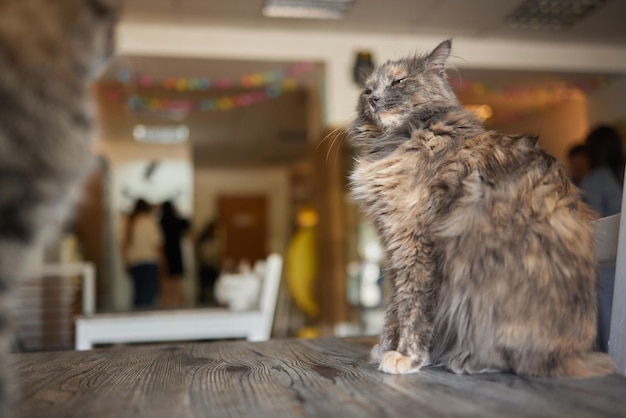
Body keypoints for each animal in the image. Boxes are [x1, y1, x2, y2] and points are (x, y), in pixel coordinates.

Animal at [348, 40, 616, 378]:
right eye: (368, 89)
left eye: (398, 81)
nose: (373, 98)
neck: (403, 139)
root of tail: (572, 354)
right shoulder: (392, 247)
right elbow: (393, 307)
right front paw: (385, 348)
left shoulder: (414, 243)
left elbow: (412, 306)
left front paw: (405, 356)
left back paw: (463, 360)